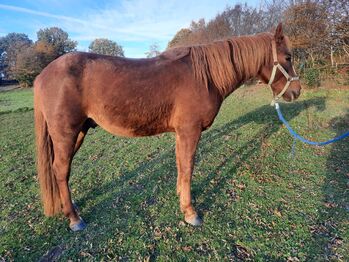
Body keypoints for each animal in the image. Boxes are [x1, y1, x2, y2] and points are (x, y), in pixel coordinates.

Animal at [34, 23, 300, 231]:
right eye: (288, 57)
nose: (297, 91)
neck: (205, 77)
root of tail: (43, 75)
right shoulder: (190, 131)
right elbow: (189, 166)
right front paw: (190, 212)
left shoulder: (181, 133)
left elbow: (181, 165)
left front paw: (181, 197)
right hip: (66, 134)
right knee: (61, 169)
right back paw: (74, 218)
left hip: (79, 132)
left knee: (61, 171)